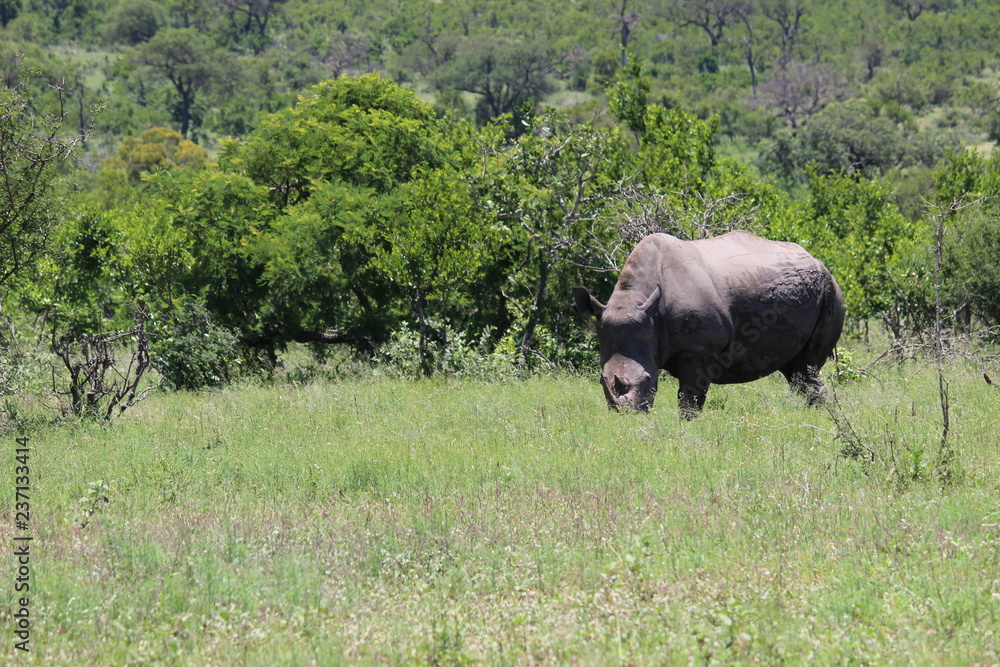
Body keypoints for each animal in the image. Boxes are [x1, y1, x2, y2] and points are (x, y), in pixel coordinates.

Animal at [573, 231, 845, 417]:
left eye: (649, 379)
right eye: (601, 381)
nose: (627, 414)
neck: (637, 300)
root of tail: (819, 261)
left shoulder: (697, 349)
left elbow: (689, 397)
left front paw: (686, 426)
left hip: (830, 290)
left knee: (807, 366)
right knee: (796, 371)